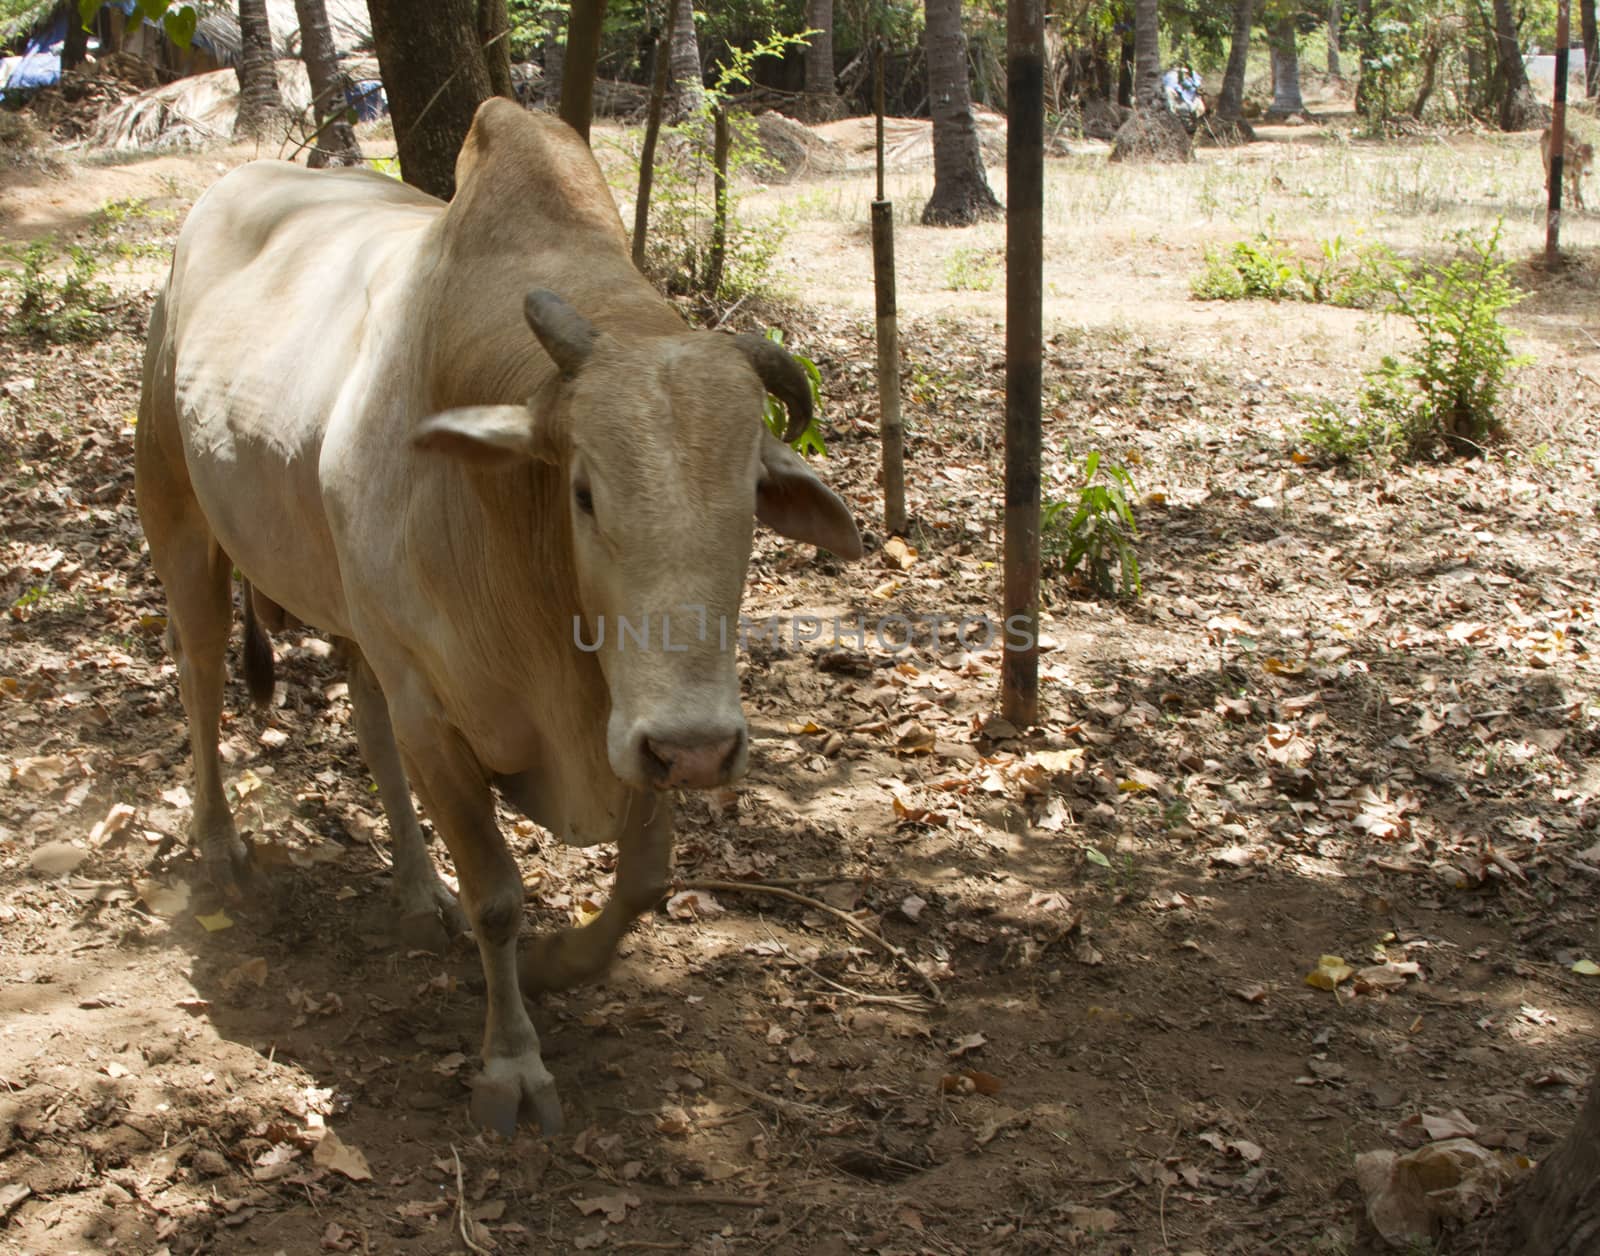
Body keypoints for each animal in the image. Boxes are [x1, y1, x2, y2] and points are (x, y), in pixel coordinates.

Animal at [136, 100, 864, 1139]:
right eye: (585, 492)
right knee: (198, 674)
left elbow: (644, 880)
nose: (699, 747)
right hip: (179, 515)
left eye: (750, 498)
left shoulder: (626, 723)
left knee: (365, 723)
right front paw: (512, 1061)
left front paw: (561, 964)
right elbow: (498, 896)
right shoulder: (443, 713)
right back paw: (220, 842)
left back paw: (413, 886)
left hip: (358, 622)